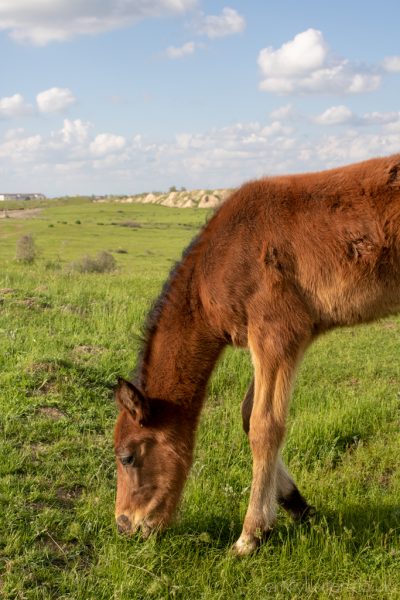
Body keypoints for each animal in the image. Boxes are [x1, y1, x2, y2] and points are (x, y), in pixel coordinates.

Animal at [114, 154, 400, 552]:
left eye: (127, 457)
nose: (125, 525)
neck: (220, 260)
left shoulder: (276, 333)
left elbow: (265, 427)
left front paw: (251, 534)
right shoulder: (268, 339)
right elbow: (249, 416)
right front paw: (298, 506)